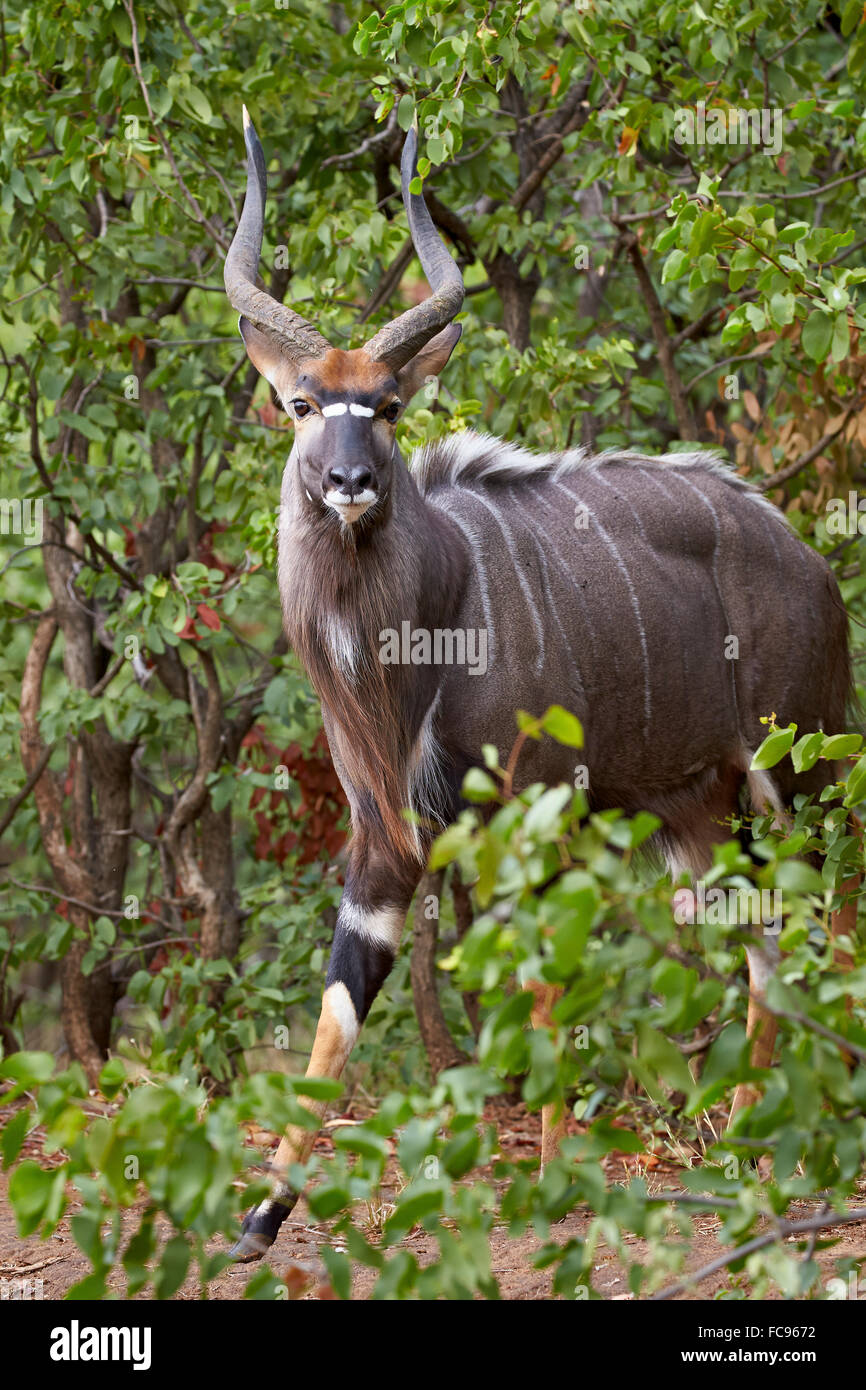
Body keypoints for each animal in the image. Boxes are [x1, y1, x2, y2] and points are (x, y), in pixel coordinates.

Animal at [222, 111, 856, 1262]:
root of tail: (810, 561)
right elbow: (341, 1003)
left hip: (797, 772)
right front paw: (257, 1218)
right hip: (705, 811)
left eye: (385, 405)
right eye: (301, 401)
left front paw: (558, 1176)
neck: (419, 636)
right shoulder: (389, 836)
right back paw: (748, 1144)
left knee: (827, 917)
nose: (349, 483)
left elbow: (544, 981)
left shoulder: (536, 807)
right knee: (761, 945)